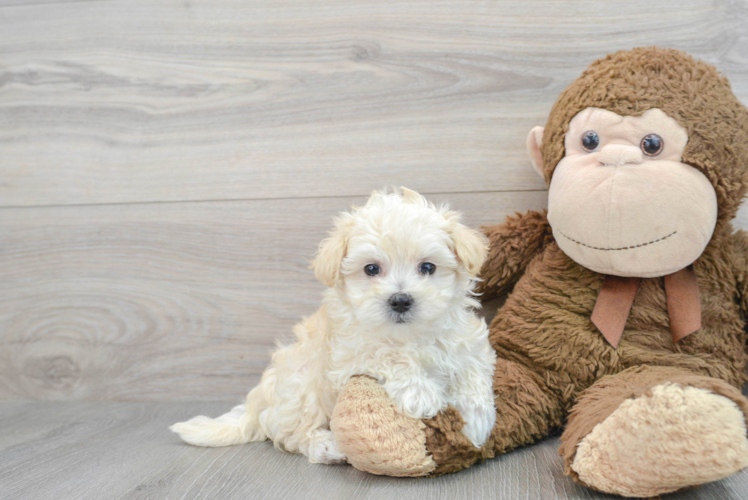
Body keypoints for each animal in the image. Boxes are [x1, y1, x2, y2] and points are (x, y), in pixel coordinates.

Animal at [169, 188, 496, 464]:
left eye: (428, 267)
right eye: (371, 269)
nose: (401, 300)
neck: (408, 336)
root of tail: (257, 403)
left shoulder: (468, 342)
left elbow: (473, 369)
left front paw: (477, 422)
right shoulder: (349, 353)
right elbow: (387, 354)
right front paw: (421, 392)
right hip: (299, 385)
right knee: (296, 434)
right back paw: (328, 446)